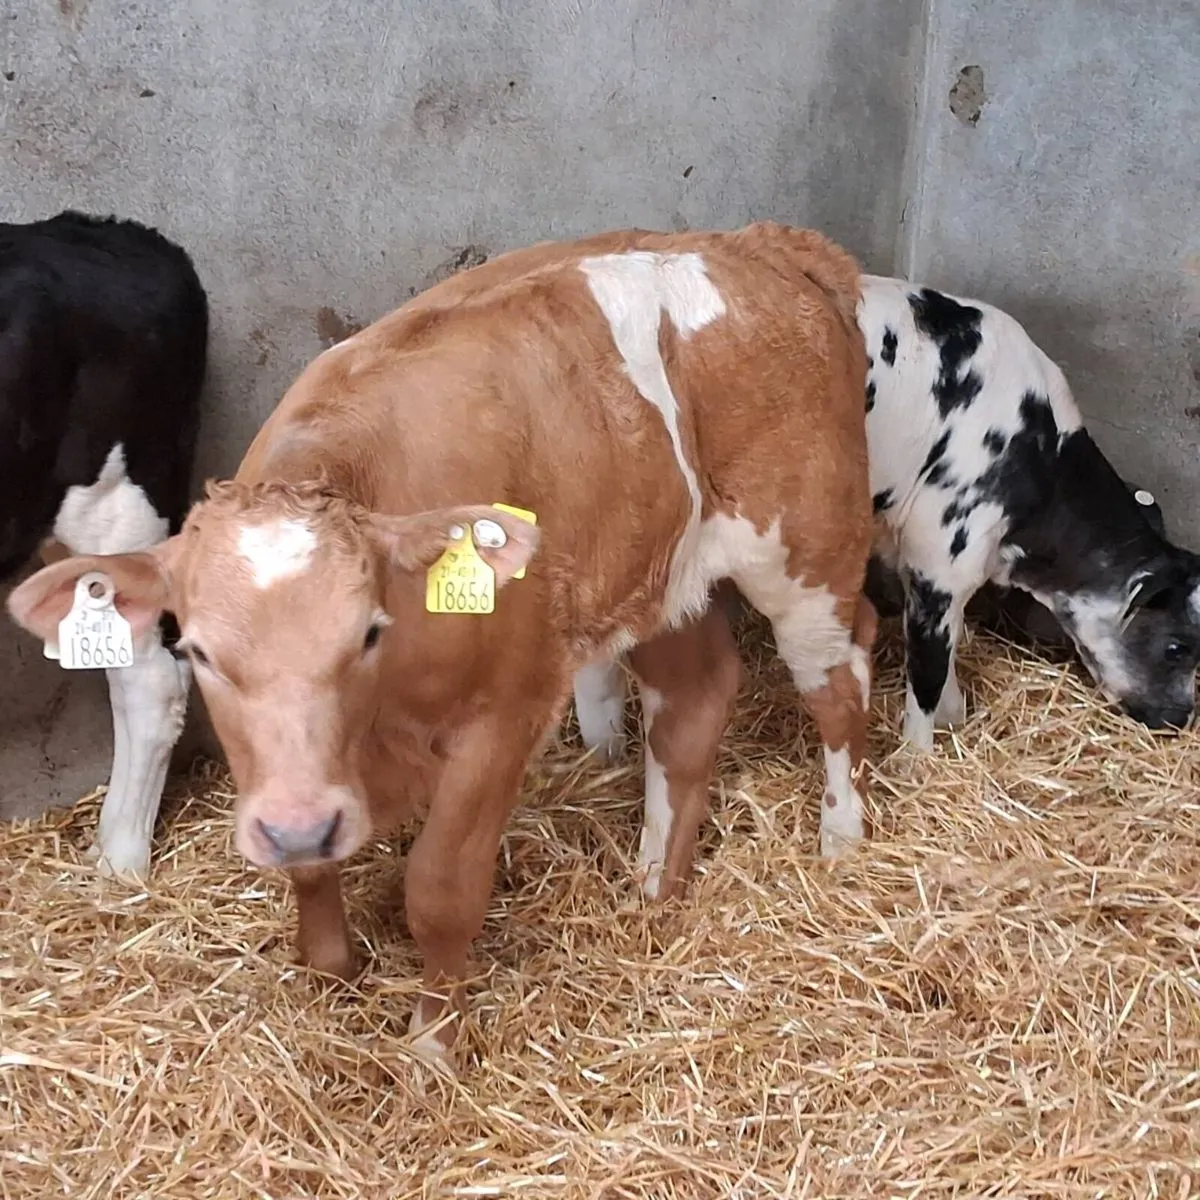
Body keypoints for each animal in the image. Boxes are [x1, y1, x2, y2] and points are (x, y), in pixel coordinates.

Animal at [574, 274, 1200, 758]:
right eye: (1177, 646)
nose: (1179, 720)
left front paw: (955, 718)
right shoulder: (942, 556)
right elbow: (928, 666)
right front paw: (917, 761)